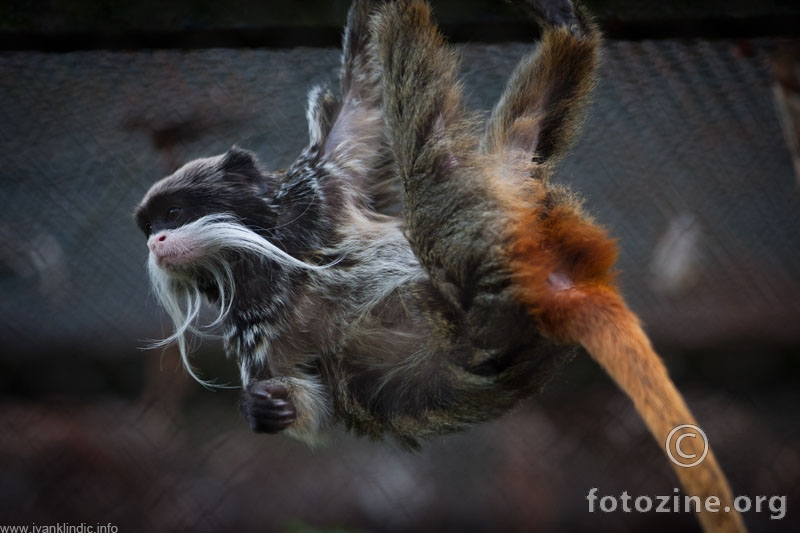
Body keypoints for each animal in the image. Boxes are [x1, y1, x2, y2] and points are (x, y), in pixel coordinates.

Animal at [136, 2, 744, 528]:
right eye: (149, 227)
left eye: (174, 213)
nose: (156, 241)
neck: (268, 265)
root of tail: (564, 283)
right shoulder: (254, 334)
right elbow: (304, 404)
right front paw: (263, 409)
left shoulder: (325, 182)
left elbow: (363, 94)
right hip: (493, 264)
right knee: (456, 155)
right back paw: (564, 35)